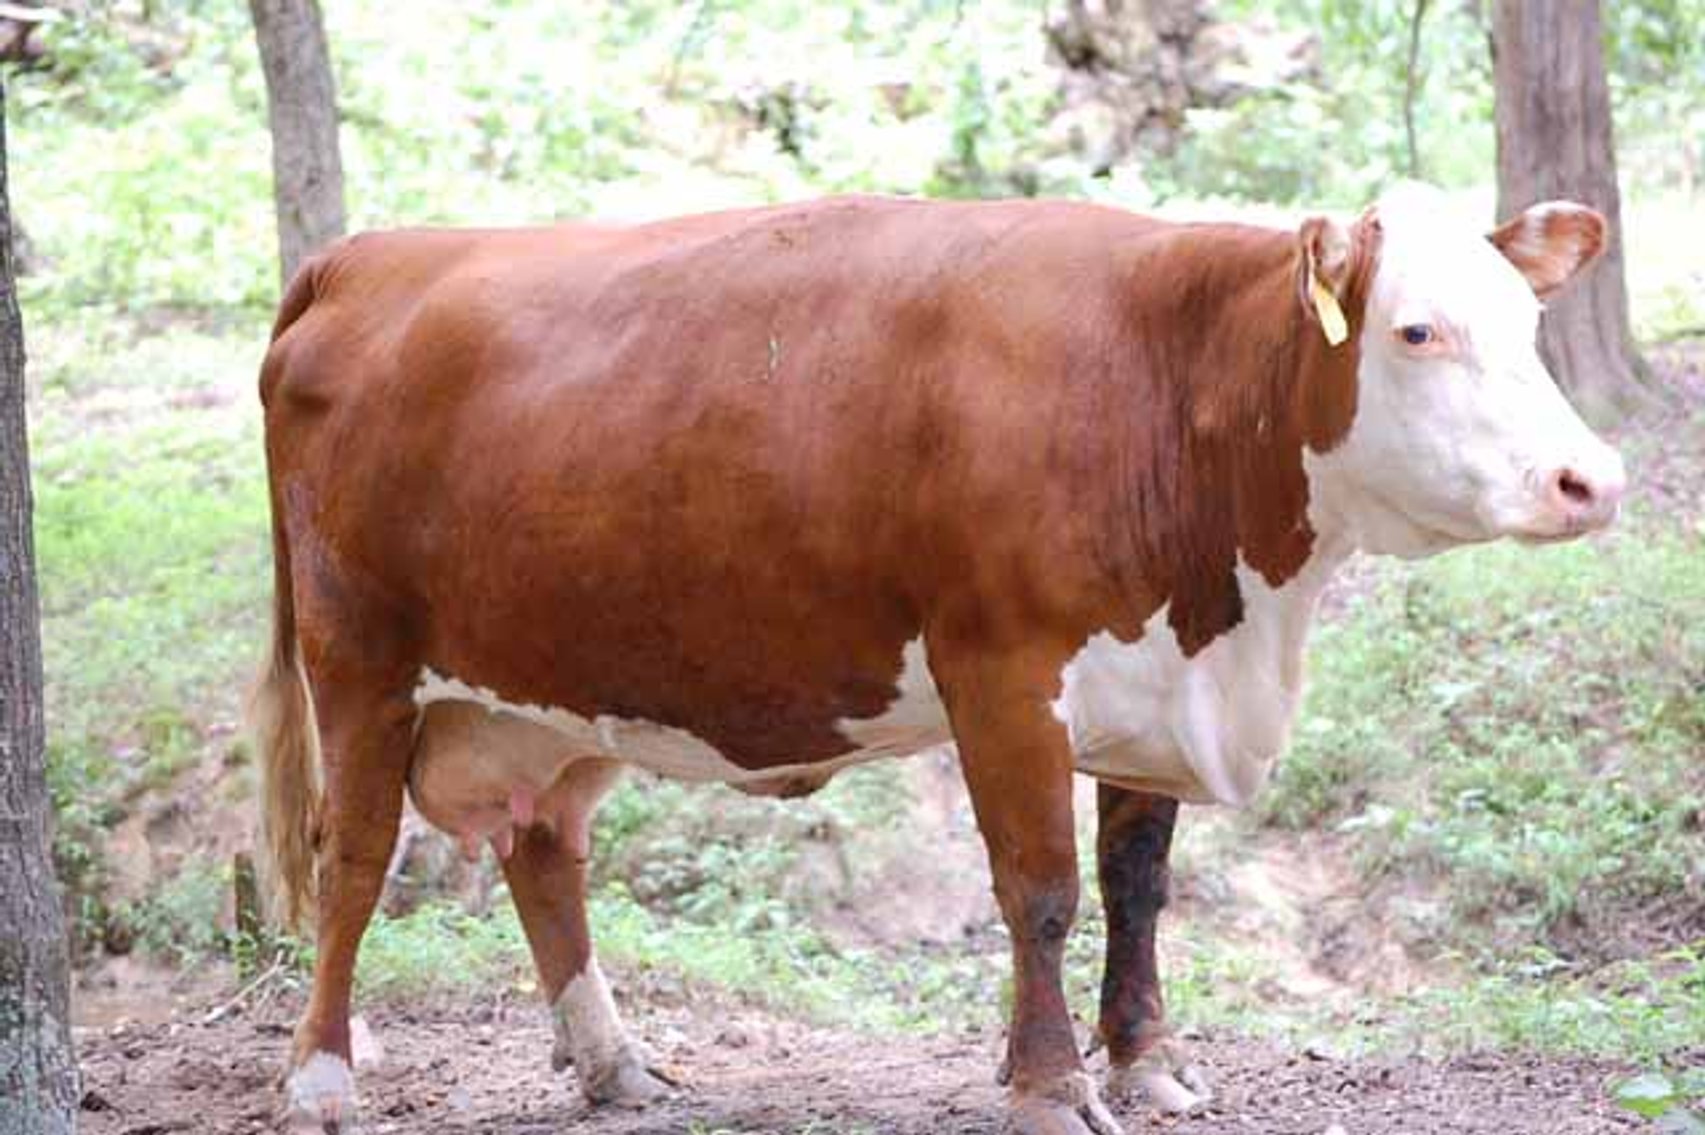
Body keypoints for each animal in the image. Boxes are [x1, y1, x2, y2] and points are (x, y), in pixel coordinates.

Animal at [251, 182, 1624, 1135]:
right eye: (1415, 331)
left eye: (1529, 323)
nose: (1591, 479)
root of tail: (372, 253)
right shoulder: (1001, 673)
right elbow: (1041, 890)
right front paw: (1052, 1085)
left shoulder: (1146, 686)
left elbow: (1136, 888)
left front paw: (1151, 1062)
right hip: (359, 657)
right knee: (351, 857)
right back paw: (318, 1076)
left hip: (553, 689)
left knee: (545, 851)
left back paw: (611, 1061)